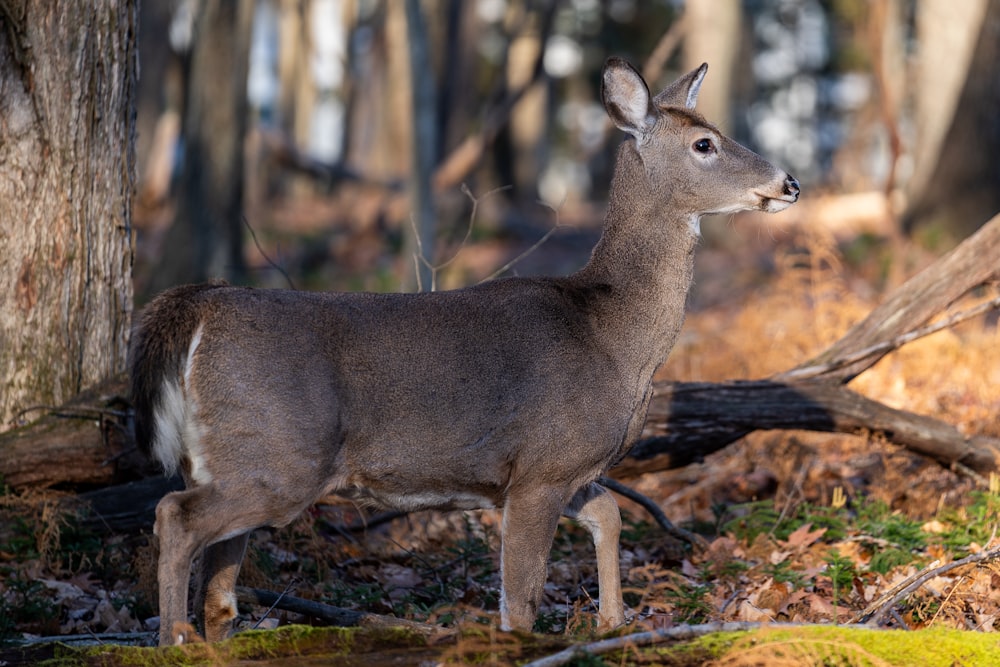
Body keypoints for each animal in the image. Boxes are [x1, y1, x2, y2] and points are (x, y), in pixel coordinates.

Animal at [129, 57, 800, 648]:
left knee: (219, 589)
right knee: (174, 516)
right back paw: (170, 639)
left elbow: (609, 513)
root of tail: (201, 306)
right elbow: (521, 602)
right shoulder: (542, 466)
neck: (613, 336)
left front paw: (613, 623)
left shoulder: (563, 467)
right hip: (278, 452)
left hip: (234, 458)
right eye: (705, 144)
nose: (789, 183)